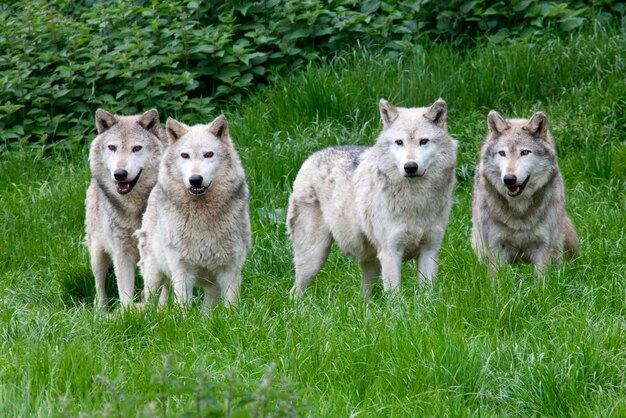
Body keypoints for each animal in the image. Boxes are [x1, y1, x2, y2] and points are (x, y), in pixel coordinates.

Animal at [84, 108, 166, 310]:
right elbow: (125, 294)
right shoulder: (121, 254)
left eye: (136, 148)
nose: (120, 174)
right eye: (112, 147)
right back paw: (101, 312)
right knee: (99, 289)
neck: (134, 209)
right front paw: (128, 315)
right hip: (97, 254)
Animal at [137, 112, 251, 308]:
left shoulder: (230, 271)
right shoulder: (182, 271)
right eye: (185, 155)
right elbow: (183, 307)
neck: (202, 214)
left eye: (209, 154)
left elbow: (231, 307)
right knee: (150, 304)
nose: (195, 179)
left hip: (211, 288)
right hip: (154, 276)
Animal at [286, 98, 456, 298]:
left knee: (363, 296)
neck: (416, 200)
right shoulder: (391, 253)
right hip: (314, 258)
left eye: (424, 141)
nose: (410, 167)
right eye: (399, 142)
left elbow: (427, 296)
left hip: (370, 263)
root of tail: (312, 156)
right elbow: (395, 297)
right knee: (295, 292)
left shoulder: (429, 251)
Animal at [470, 110, 576, 278]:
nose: (509, 179)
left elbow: (542, 281)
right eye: (502, 153)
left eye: (525, 152)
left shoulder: (542, 247)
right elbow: (497, 282)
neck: (519, 211)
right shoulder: (496, 246)